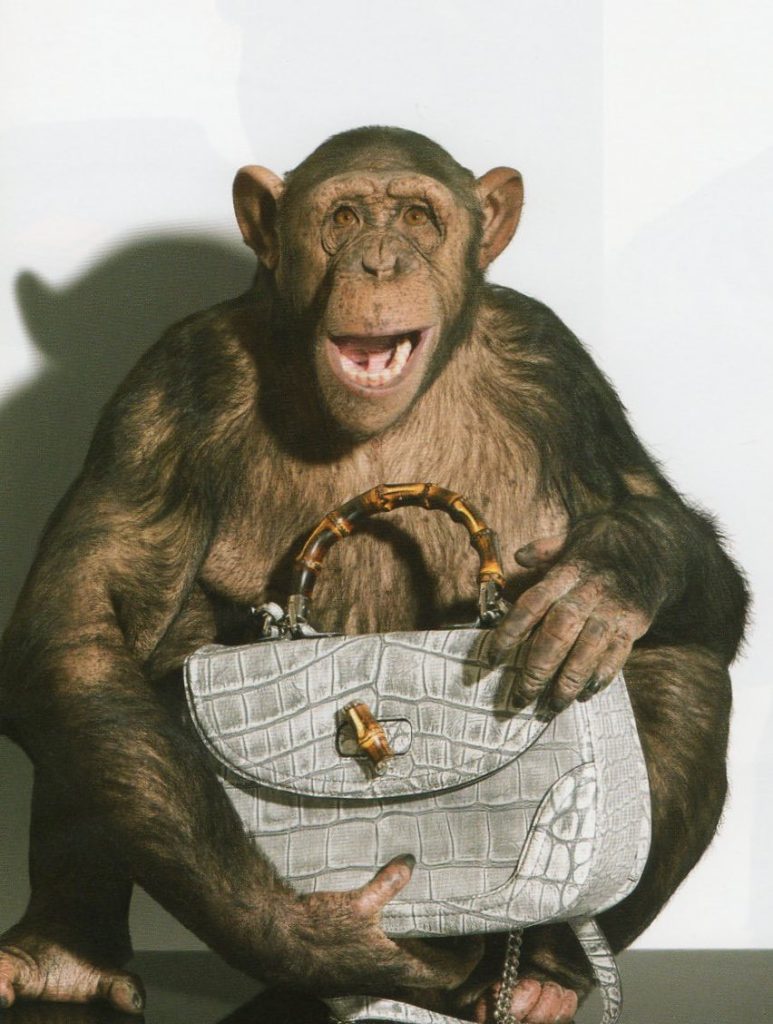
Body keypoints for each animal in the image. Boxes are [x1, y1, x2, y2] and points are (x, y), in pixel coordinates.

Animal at [0, 126, 747, 1024]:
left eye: (419, 217)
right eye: (345, 216)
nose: (382, 260)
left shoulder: (558, 370)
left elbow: (673, 545)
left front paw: (606, 573)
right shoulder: (165, 396)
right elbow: (80, 624)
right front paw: (317, 936)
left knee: (679, 667)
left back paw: (545, 977)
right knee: (101, 684)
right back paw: (64, 958)